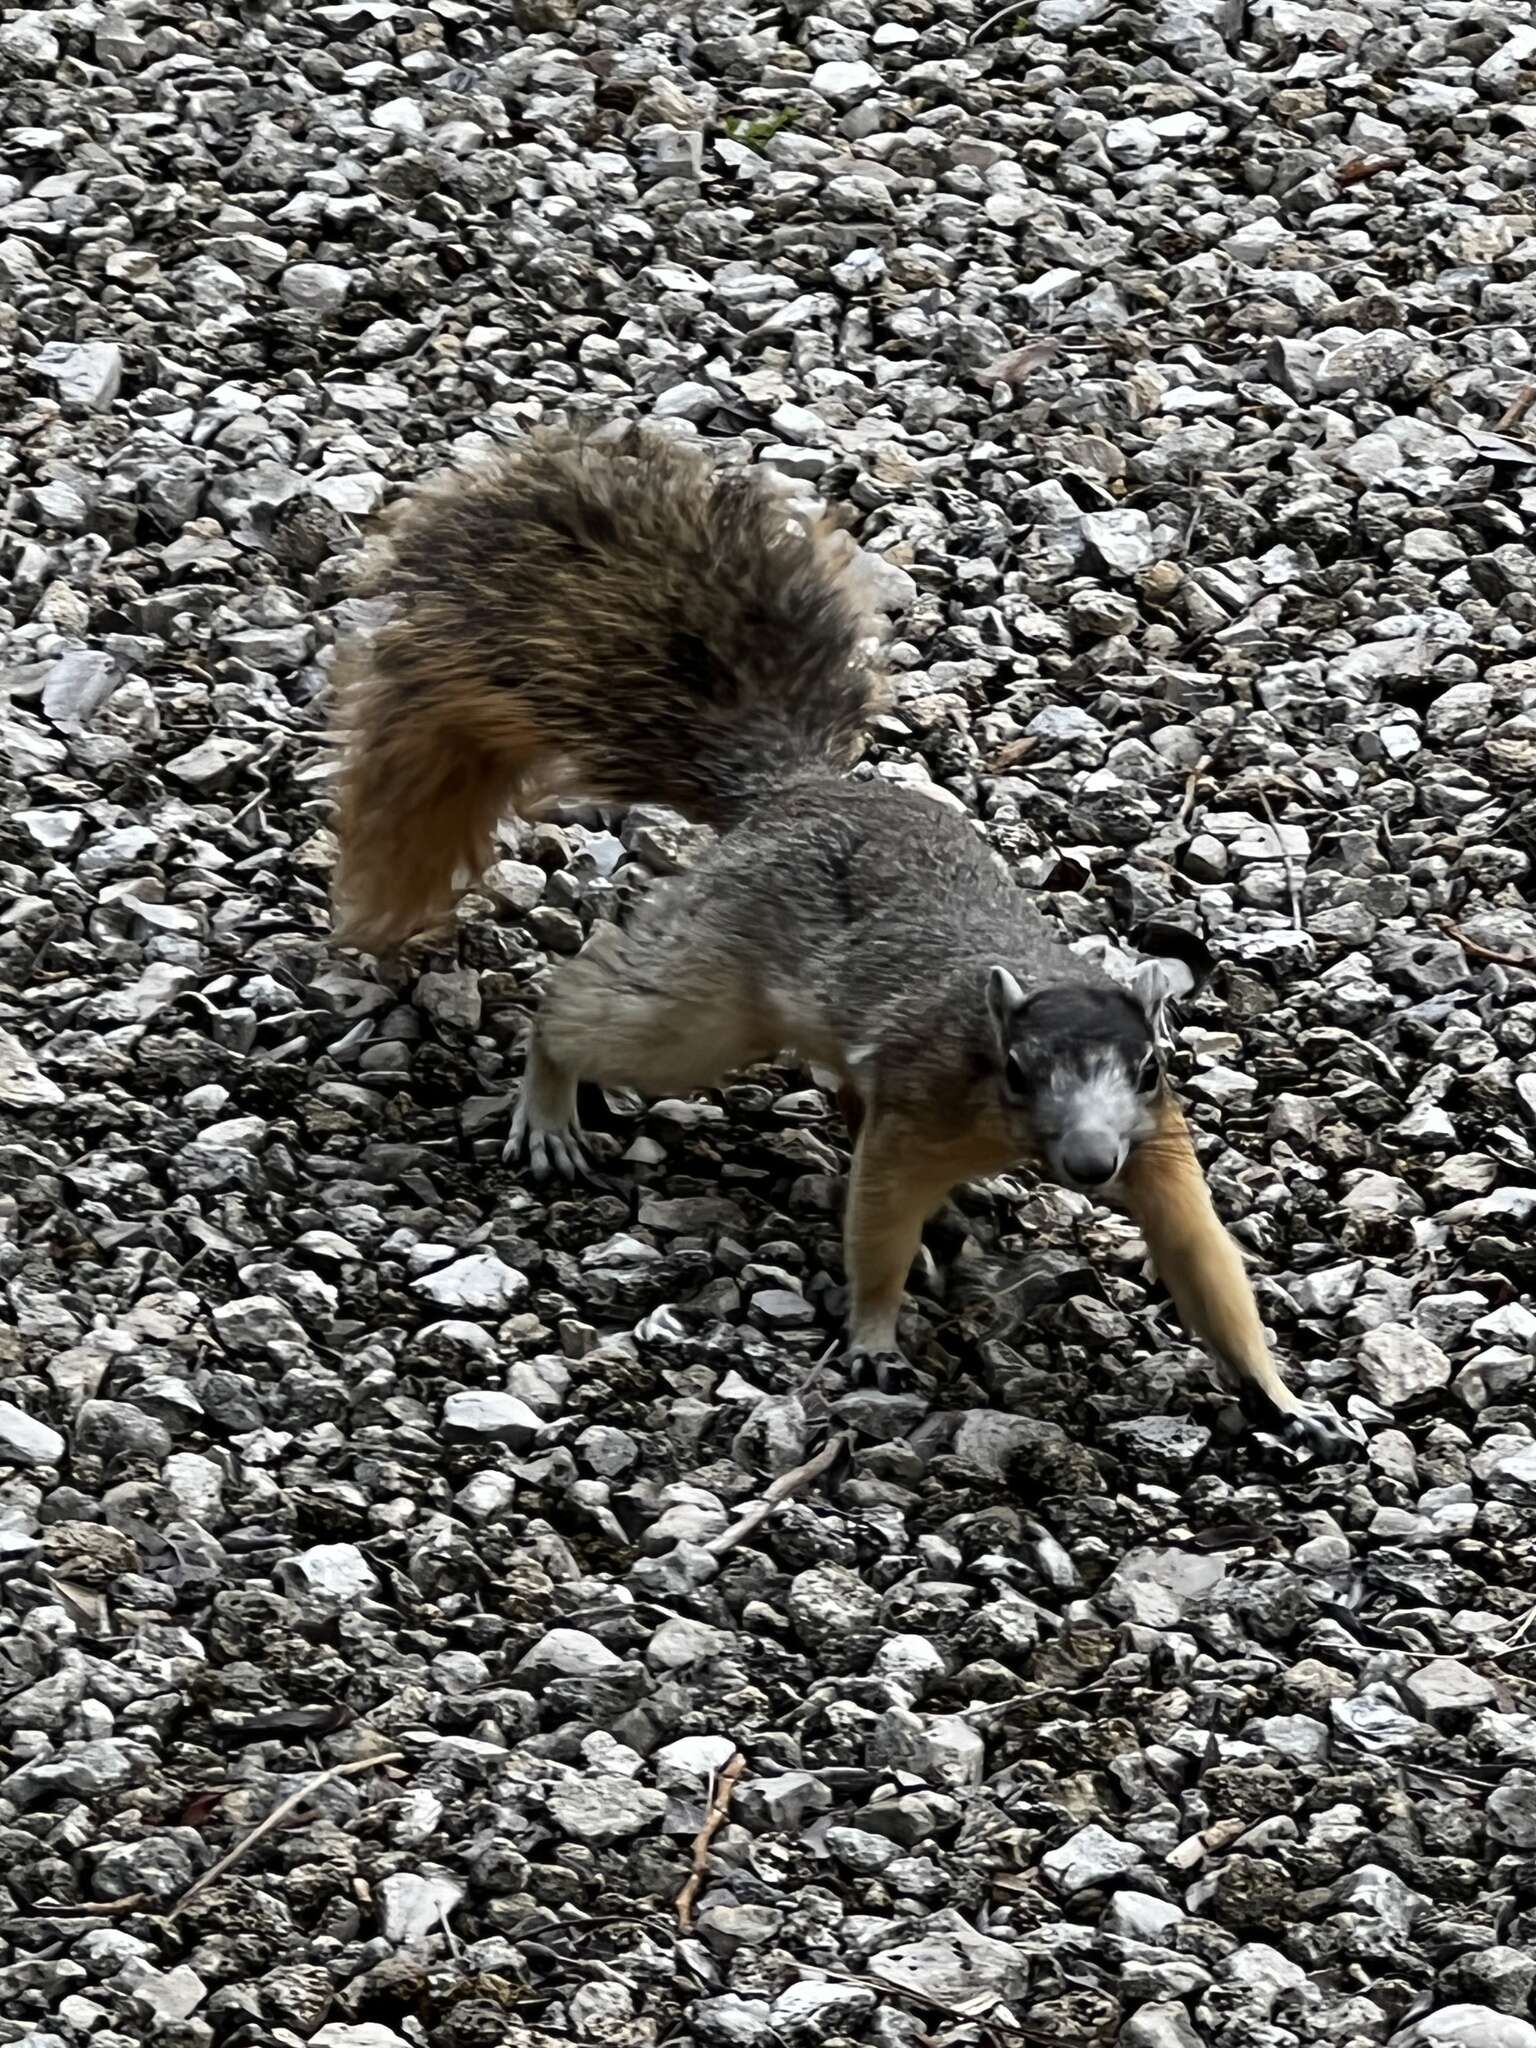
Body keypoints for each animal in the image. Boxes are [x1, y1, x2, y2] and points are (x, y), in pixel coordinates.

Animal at [333, 423, 1359, 1466]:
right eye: (1015, 1069)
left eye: (1150, 1067)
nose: (1088, 1164)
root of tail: (789, 793)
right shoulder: (920, 1117)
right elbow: (878, 1225)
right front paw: (873, 1338)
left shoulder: (1158, 1146)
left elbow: (1203, 1263)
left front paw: (1283, 1396)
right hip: (711, 998)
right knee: (585, 1010)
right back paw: (547, 1108)